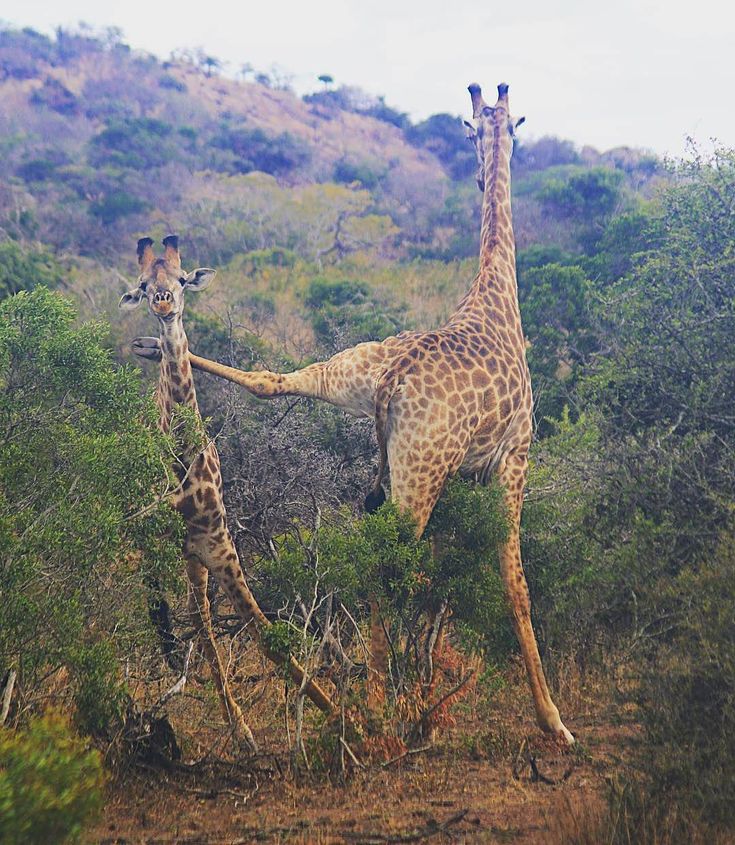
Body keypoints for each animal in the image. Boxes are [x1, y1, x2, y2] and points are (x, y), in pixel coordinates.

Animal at [120, 236, 336, 753]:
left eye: (181, 280)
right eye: (143, 285)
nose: (164, 304)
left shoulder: (217, 545)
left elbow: (263, 631)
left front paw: (350, 723)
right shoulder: (159, 536)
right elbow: (180, 612)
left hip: (194, 558)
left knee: (198, 612)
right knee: (176, 606)